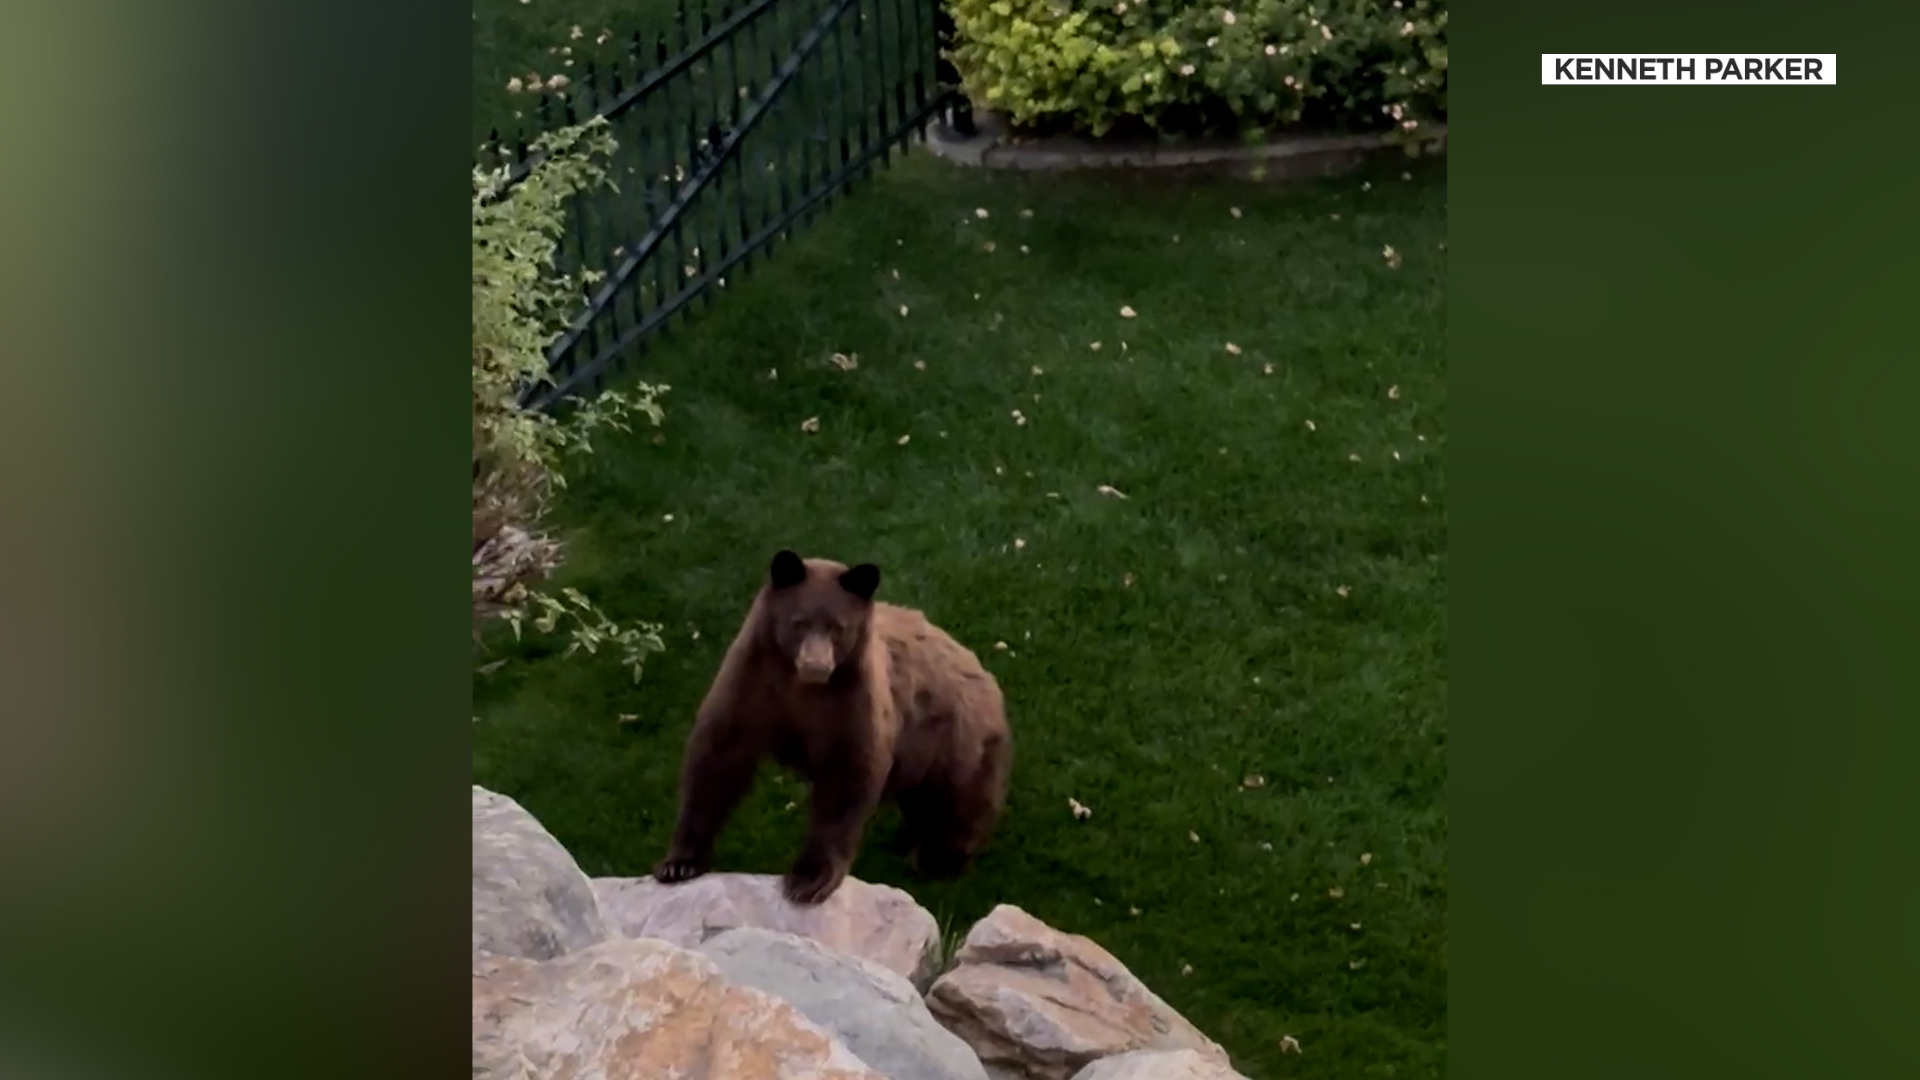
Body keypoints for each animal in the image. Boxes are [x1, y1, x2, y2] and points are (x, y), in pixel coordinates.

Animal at [652, 545, 1013, 899]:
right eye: (799, 622)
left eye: (838, 627)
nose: (816, 665)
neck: (801, 686)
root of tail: (981, 668)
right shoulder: (752, 682)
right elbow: (716, 758)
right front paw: (678, 863)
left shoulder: (853, 699)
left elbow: (848, 778)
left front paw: (808, 879)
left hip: (955, 742)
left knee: (959, 802)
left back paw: (938, 857)